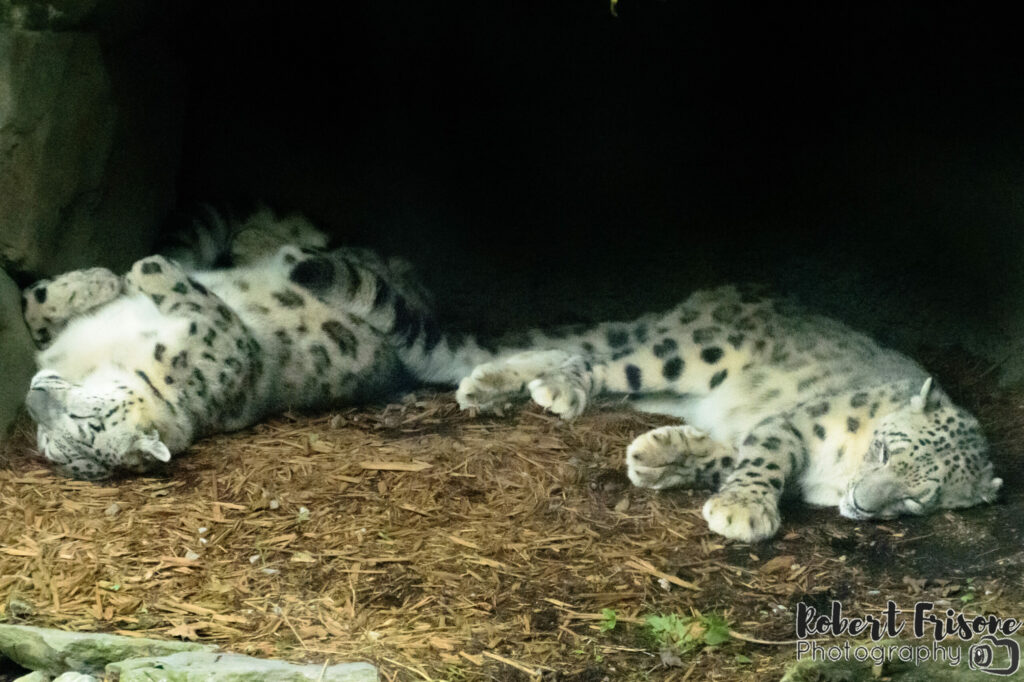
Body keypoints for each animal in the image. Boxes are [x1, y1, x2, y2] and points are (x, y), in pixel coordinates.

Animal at [454, 284, 999, 540]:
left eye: (918, 498)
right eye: (885, 450)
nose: (862, 503)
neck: (836, 474)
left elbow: (730, 455)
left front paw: (660, 458)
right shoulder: (798, 423)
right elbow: (766, 459)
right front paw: (743, 510)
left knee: (573, 351)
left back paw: (486, 385)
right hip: (690, 355)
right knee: (596, 359)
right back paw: (556, 388)